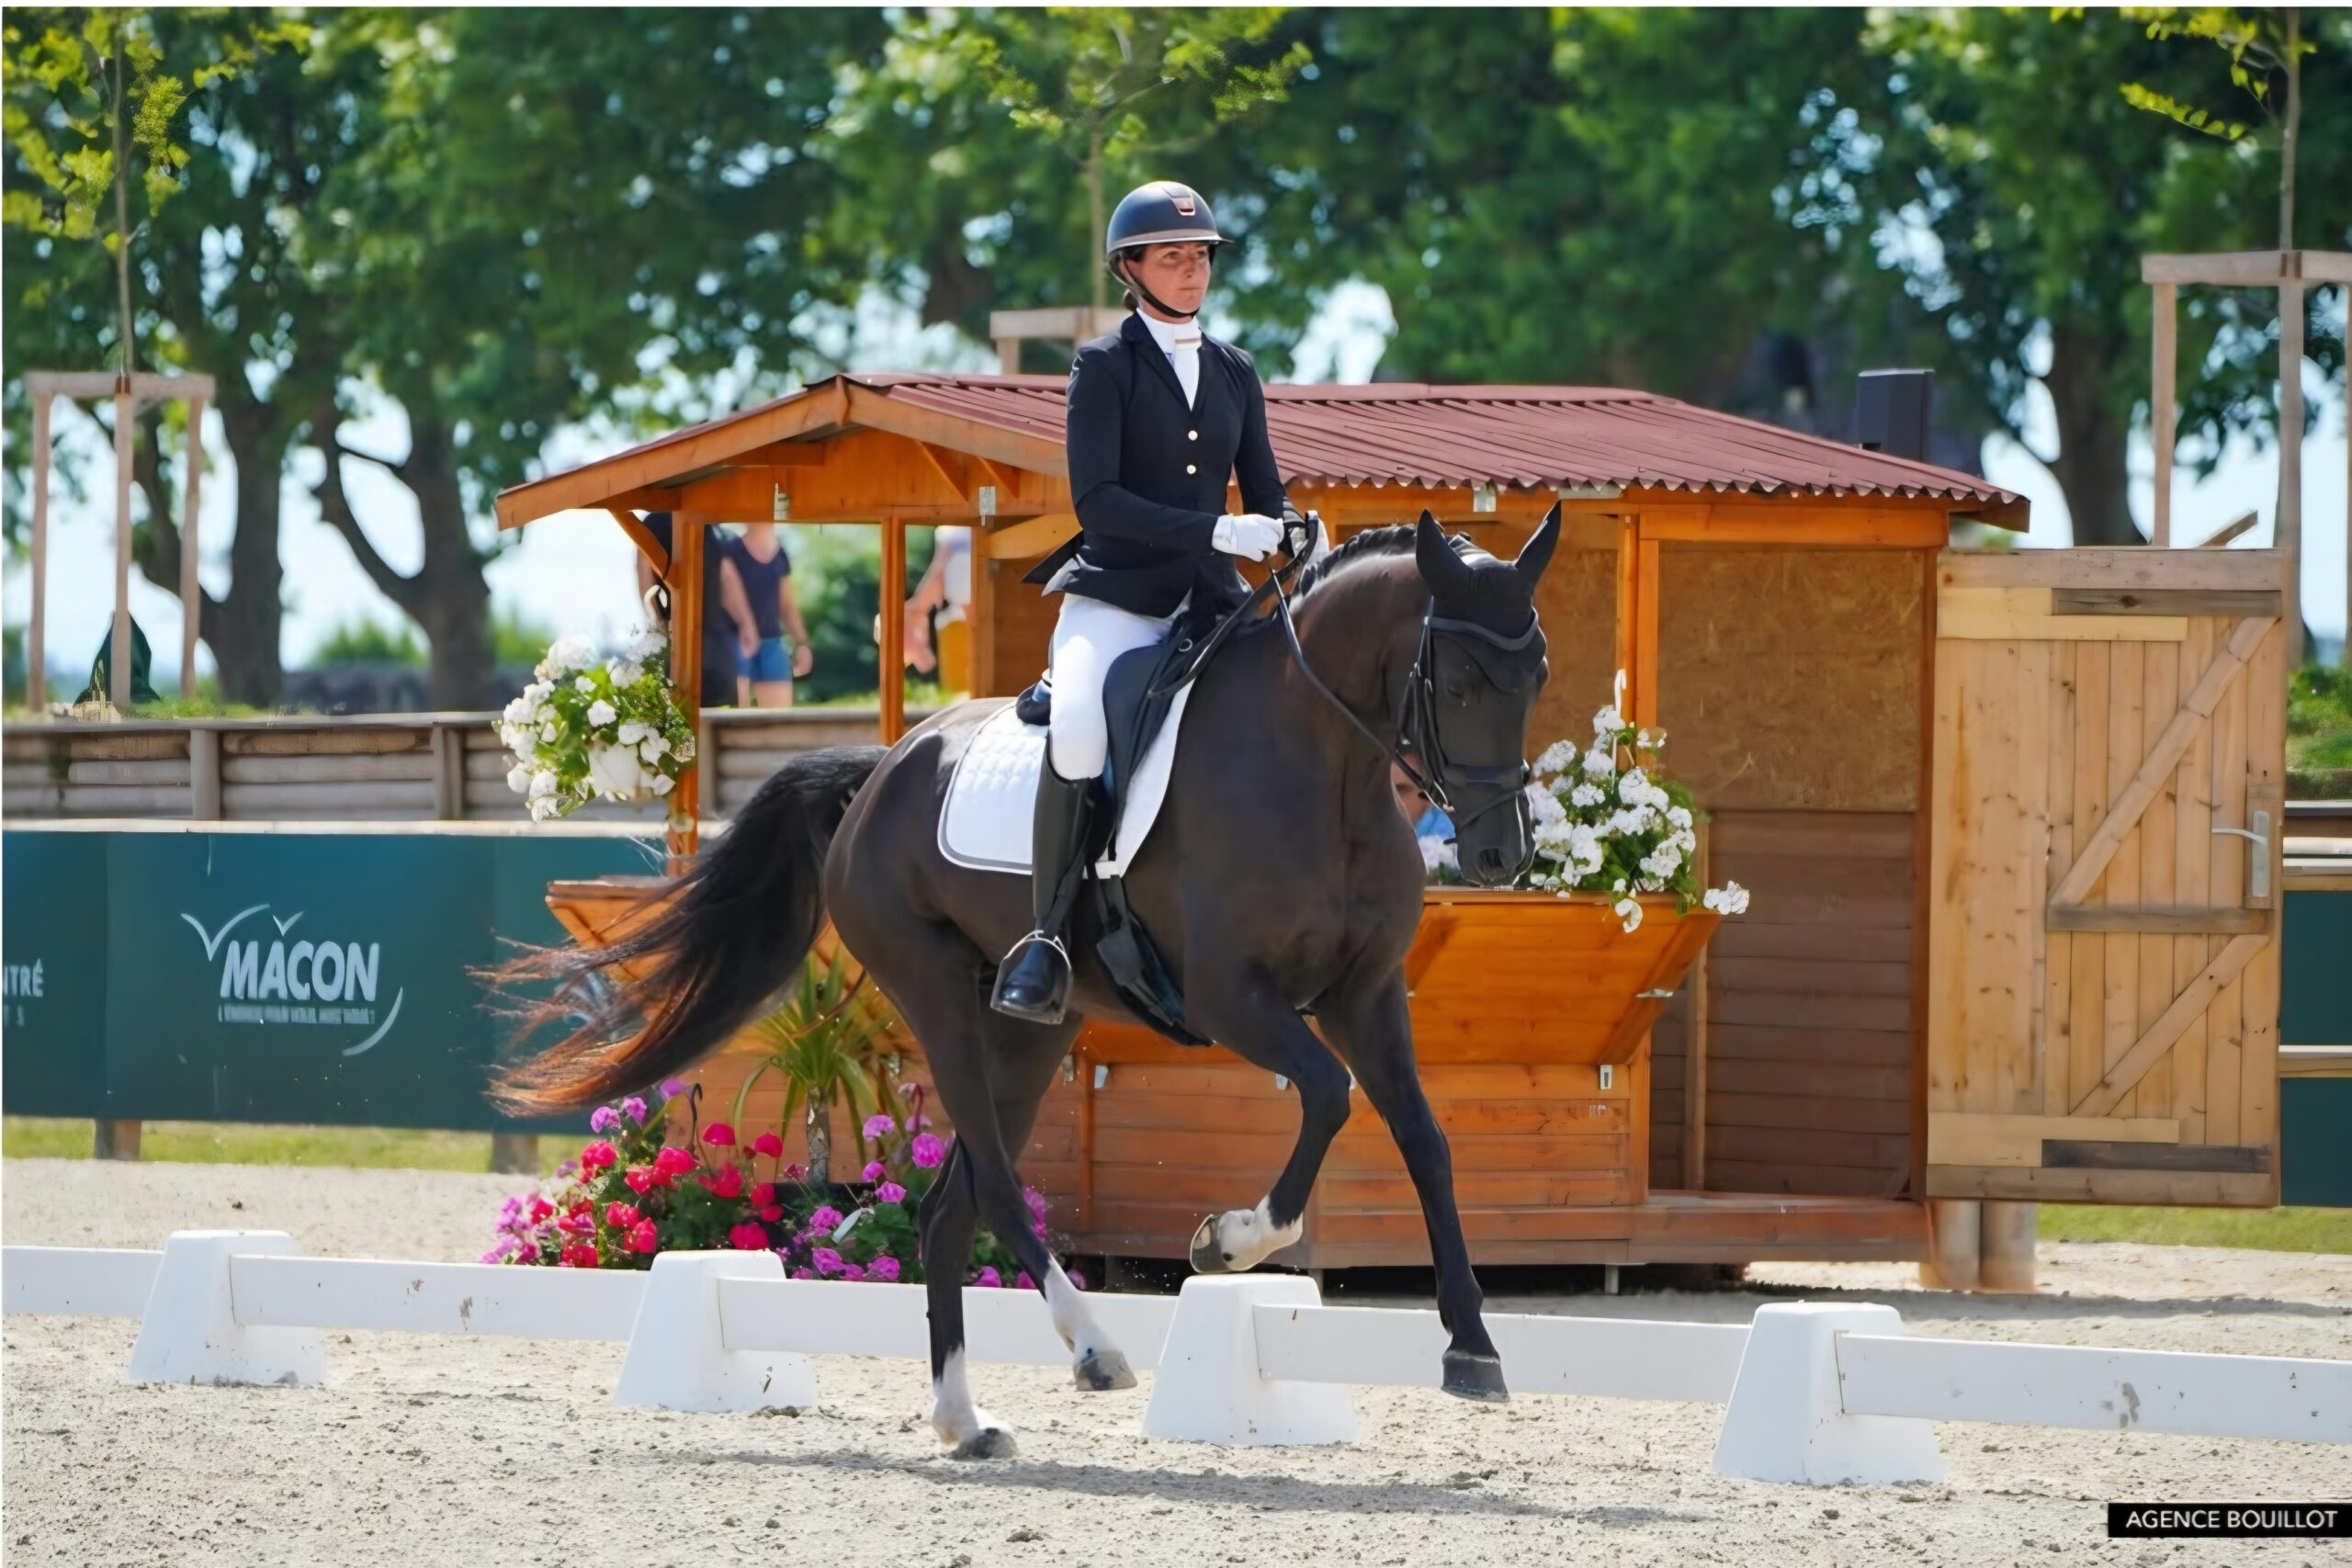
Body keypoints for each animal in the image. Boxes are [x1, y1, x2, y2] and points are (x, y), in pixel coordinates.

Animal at [493, 508, 1560, 1457]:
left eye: (1538, 673)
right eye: (1462, 678)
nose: (1500, 856)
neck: (1320, 768)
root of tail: (880, 771)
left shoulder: (1364, 993)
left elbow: (1424, 1140)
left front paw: (1472, 1346)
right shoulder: (1231, 996)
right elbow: (1331, 1096)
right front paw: (1229, 1241)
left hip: (1029, 1032)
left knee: (946, 1209)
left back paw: (964, 1422)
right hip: (934, 994)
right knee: (1001, 1194)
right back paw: (1092, 1349)